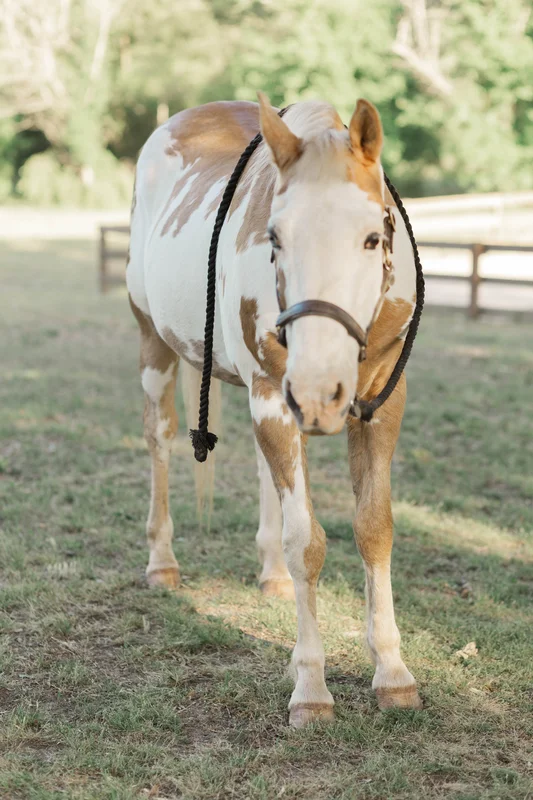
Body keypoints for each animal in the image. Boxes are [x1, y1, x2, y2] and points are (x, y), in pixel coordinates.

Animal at [127, 93, 422, 727]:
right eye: (275, 239)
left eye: (371, 238)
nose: (318, 387)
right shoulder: (273, 397)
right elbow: (306, 541)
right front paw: (310, 687)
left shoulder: (383, 403)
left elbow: (374, 529)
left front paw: (393, 673)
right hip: (156, 345)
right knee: (160, 439)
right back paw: (162, 562)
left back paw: (272, 578)